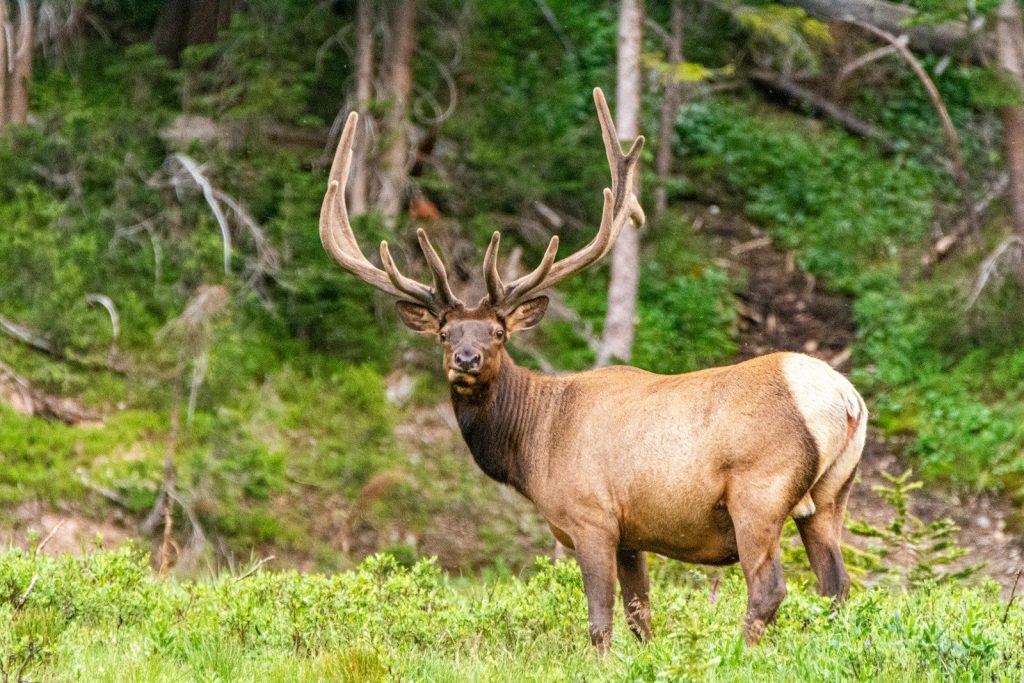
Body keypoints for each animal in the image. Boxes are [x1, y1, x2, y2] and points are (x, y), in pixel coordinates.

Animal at [317, 88, 867, 650]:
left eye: (498, 333)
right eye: (446, 334)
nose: (465, 360)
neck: (532, 444)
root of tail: (845, 399)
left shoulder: (592, 517)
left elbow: (600, 619)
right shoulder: (633, 534)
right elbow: (641, 616)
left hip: (760, 492)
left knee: (770, 587)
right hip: (832, 495)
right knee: (837, 587)